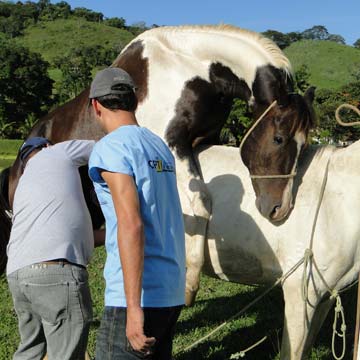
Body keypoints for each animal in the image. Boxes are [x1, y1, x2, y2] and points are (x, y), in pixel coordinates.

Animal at [0, 24, 316, 304]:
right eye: (278, 138)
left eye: (305, 143)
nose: (279, 208)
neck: (190, 72)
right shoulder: (171, 145)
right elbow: (200, 202)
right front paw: (188, 284)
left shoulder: (203, 142)